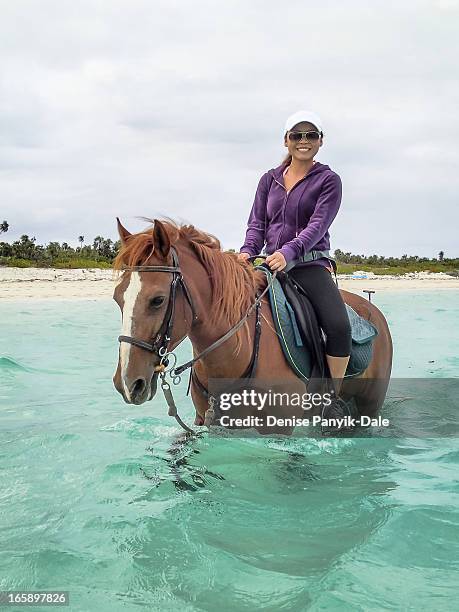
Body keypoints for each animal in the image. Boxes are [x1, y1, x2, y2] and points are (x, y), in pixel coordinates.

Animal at [113, 218, 394, 432]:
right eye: (117, 298)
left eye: (158, 300)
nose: (127, 383)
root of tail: (374, 312)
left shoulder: (279, 430)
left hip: (369, 407)